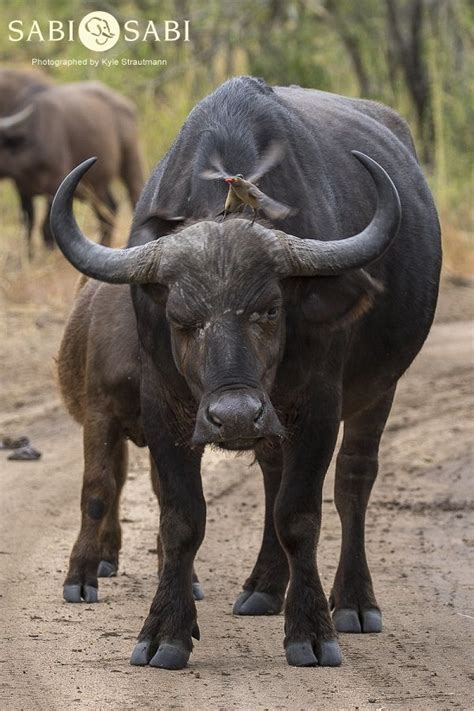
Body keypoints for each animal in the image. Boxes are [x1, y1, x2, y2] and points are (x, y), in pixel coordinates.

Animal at [0, 69, 144, 256]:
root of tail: (127, 105)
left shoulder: (54, 187)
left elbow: (46, 228)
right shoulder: (23, 190)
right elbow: (28, 225)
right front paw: (29, 256)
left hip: (130, 160)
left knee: (134, 194)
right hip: (96, 185)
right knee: (109, 208)